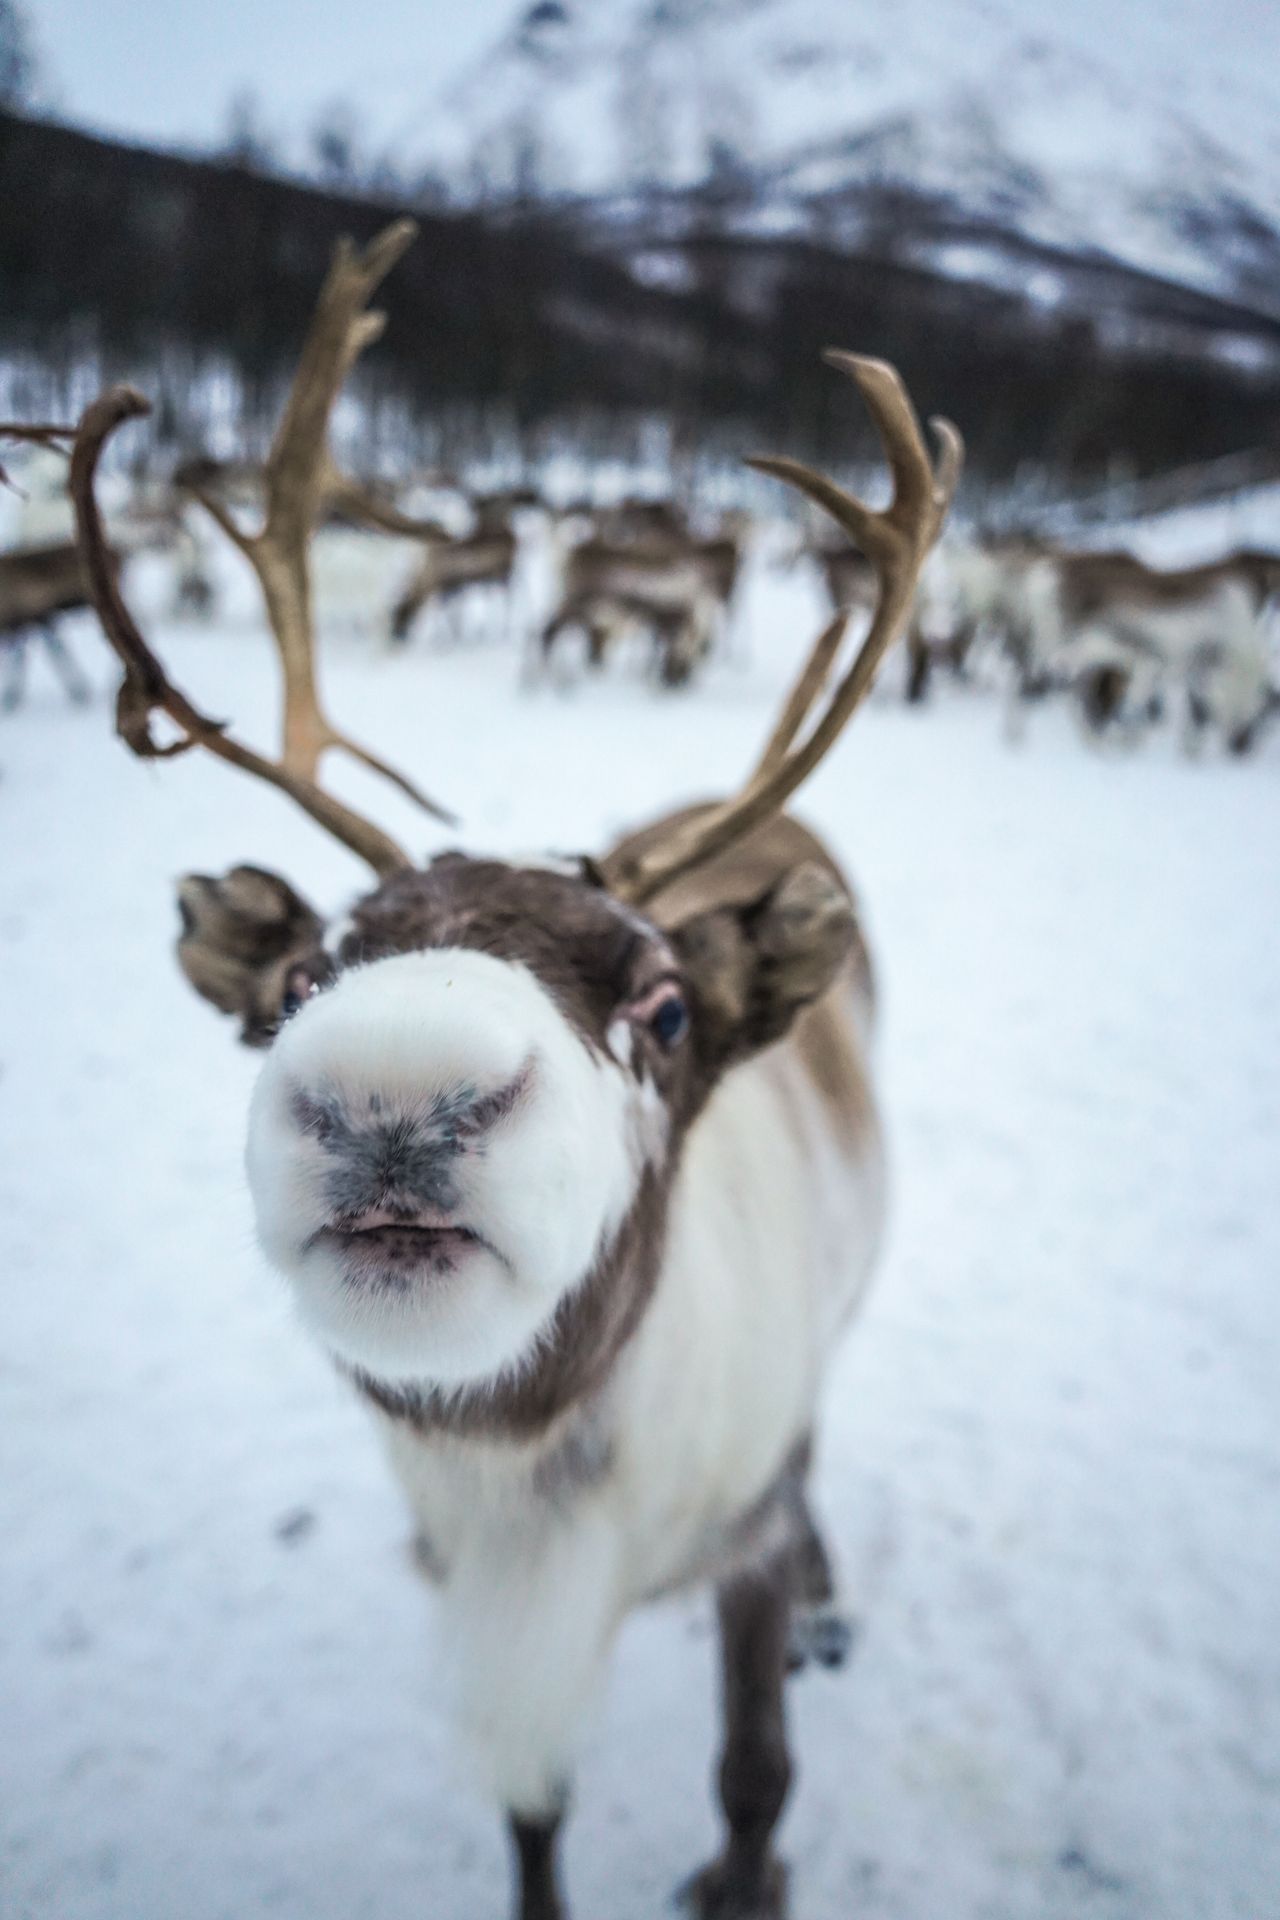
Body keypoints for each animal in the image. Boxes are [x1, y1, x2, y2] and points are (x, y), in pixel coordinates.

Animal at [66, 220, 960, 1920]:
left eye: (666, 1006)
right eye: (302, 979)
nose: (393, 1094)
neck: (541, 1489)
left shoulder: (739, 1534)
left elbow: (757, 1778)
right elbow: (535, 1813)